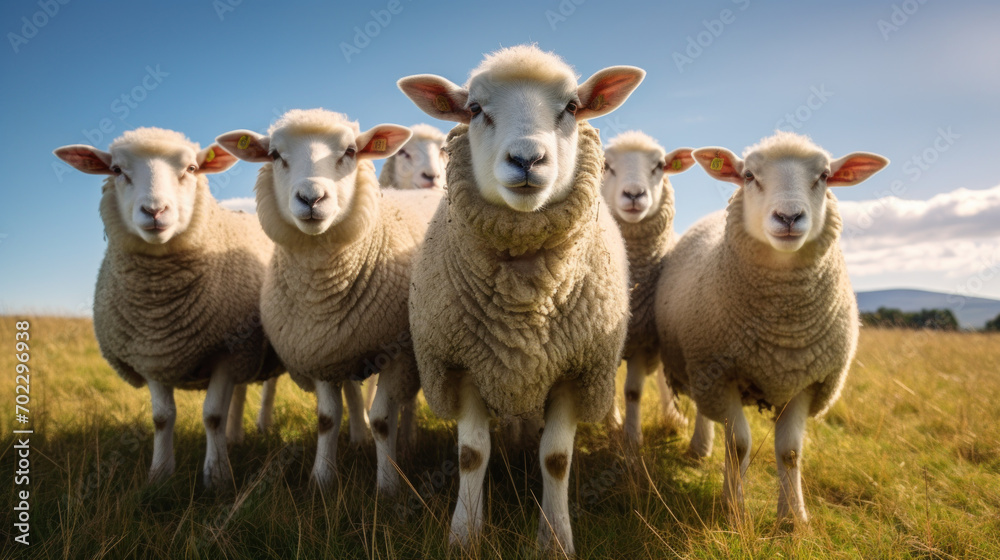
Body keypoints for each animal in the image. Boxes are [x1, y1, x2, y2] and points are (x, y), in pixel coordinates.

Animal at [53, 128, 281, 489]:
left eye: (191, 168)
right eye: (116, 170)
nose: (155, 211)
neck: (161, 306)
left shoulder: (227, 351)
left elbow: (212, 415)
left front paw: (217, 477)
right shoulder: (151, 352)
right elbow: (163, 418)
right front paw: (160, 475)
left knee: (266, 386)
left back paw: (260, 426)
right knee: (241, 390)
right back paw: (234, 438)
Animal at [216, 109, 442, 493]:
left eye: (350, 151)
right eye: (275, 155)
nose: (311, 198)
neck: (322, 295)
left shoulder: (398, 352)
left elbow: (384, 418)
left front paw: (388, 485)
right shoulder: (320, 347)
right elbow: (327, 418)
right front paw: (321, 480)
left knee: (406, 401)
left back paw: (406, 442)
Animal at [399, 44, 643, 554]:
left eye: (571, 107)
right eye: (474, 109)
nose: (527, 159)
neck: (523, 306)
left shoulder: (576, 370)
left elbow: (556, 459)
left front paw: (554, 539)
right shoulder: (464, 364)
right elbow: (472, 455)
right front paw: (465, 534)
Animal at [600, 131, 695, 447]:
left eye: (660, 166)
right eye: (607, 165)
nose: (633, 194)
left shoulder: (644, 341)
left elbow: (633, 391)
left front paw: (632, 438)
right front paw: (614, 424)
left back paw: (674, 417)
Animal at [654, 131, 889, 525]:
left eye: (824, 176)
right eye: (749, 176)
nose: (789, 216)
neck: (783, 332)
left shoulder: (808, 381)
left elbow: (790, 451)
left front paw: (794, 519)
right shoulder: (719, 374)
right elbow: (739, 445)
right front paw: (734, 510)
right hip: (699, 366)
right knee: (705, 410)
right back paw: (700, 449)